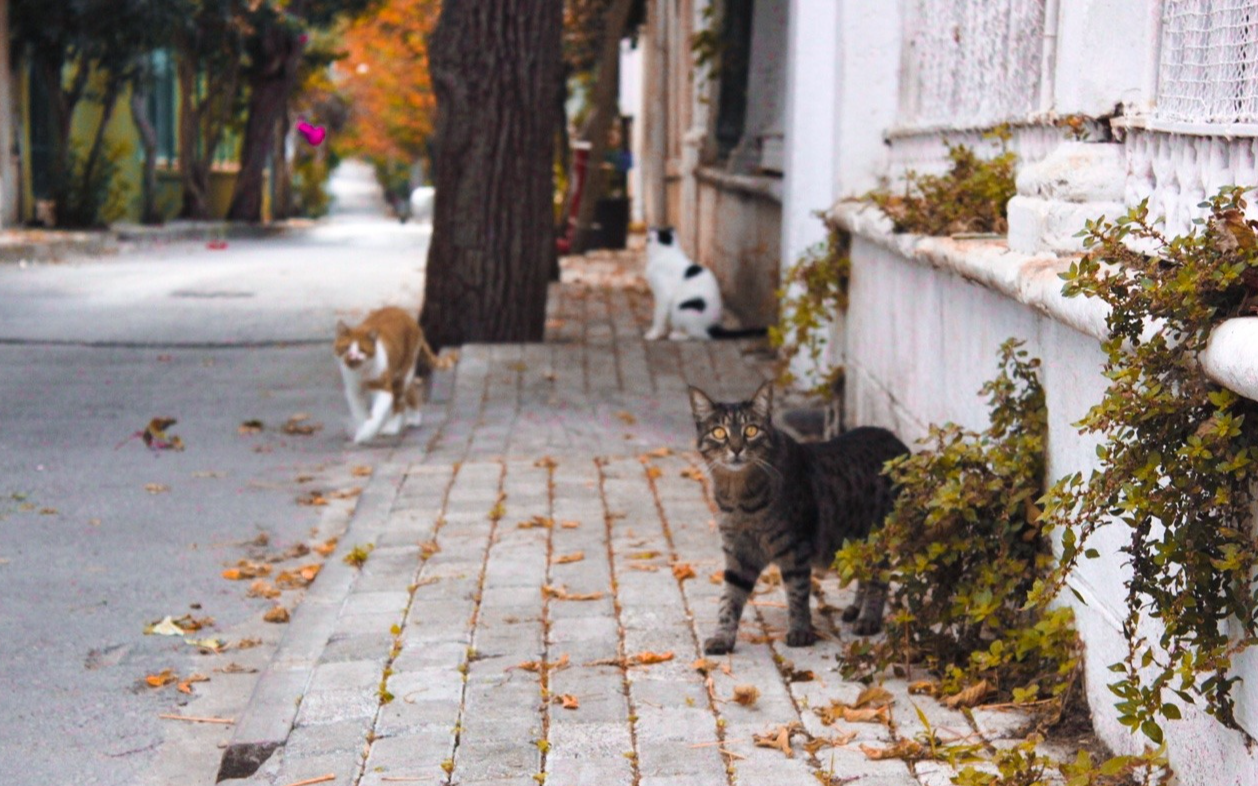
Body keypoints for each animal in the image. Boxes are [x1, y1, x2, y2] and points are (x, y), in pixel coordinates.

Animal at [332, 305, 440, 442]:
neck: (362, 372)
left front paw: (366, 433)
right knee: (411, 392)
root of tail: (407, 316)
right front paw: (362, 429)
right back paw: (414, 418)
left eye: (361, 350)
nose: (352, 358)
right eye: (346, 348)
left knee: (399, 404)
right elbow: (359, 413)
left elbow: (376, 413)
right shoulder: (354, 391)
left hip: (402, 375)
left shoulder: (384, 389)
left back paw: (392, 427)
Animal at [689, 379, 905, 648]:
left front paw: (800, 632)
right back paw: (855, 609)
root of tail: (898, 443)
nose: (737, 448)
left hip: (877, 538)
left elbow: (797, 593)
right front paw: (722, 637)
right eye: (719, 432)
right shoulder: (738, 552)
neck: (739, 497)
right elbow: (729, 598)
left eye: (751, 430)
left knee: (879, 578)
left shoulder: (794, 548)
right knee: (864, 574)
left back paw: (868, 620)